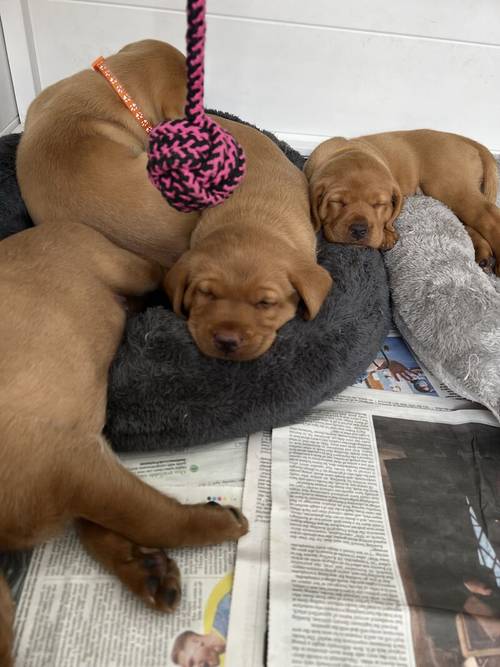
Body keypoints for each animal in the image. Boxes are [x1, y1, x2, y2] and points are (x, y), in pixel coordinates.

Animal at [0, 222, 247, 664]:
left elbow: (149, 515)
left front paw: (215, 522)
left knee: (162, 273)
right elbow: (103, 524)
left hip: (122, 265)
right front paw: (143, 568)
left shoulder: (68, 464)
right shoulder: (79, 463)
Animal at [304, 129, 500, 276]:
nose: (359, 230)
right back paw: (483, 254)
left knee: (488, 216)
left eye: (379, 204)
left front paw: (386, 234)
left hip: (449, 186)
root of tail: (466, 140)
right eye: (338, 202)